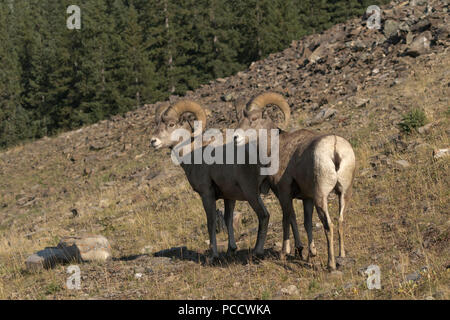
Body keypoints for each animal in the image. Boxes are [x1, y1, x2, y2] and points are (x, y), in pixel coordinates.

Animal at [150, 100, 274, 262]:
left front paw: (213, 256)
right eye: (158, 123)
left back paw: (257, 252)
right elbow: (228, 220)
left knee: (264, 215)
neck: (193, 155)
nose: (153, 141)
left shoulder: (206, 194)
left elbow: (211, 222)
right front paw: (231, 250)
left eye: (171, 124)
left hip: (252, 193)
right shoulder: (229, 197)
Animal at [234, 92, 356, 270]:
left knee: (329, 225)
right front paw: (309, 253)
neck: (275, 147)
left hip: (321, 196)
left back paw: (331, 264)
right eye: (240, 118)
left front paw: (284, 253)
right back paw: (342, 256)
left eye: (254, 118)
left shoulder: (284, 193)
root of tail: (334, 147)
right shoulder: (306, 198)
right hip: (344, 193)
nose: (235, 137)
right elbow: (304, 222)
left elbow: (286, 220)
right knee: (340, 221)